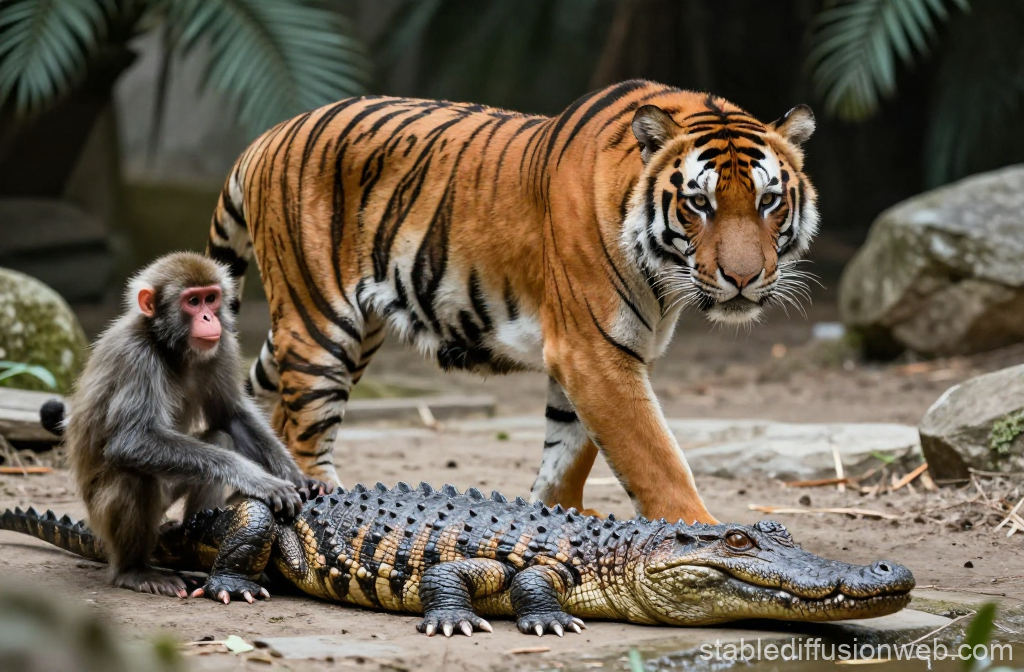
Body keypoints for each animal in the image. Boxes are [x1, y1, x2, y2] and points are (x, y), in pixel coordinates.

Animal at [46, 252, 320, 598]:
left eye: (211, 298)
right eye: (192, 301)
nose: (208, 317)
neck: (169, 347)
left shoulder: (222, 345)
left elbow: (229, 416)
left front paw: (298, 477)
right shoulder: (136, 355)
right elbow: (131, 442)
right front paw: (255, 478)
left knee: (219, 438)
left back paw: (199, 529)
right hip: (101, 512)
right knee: (133, 473)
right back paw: (134, 570)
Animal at [206, 79, 819, 525]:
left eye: (768, 201)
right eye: (698, 203)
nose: (743, 277)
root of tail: (268, 136)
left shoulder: (586, 356)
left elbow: (568, 456)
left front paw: (561, 526)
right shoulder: (593, 351)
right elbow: (655, 457)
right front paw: (704, 534)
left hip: (353, 333)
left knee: (277, 415)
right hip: (320, 324)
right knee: (304, 436)